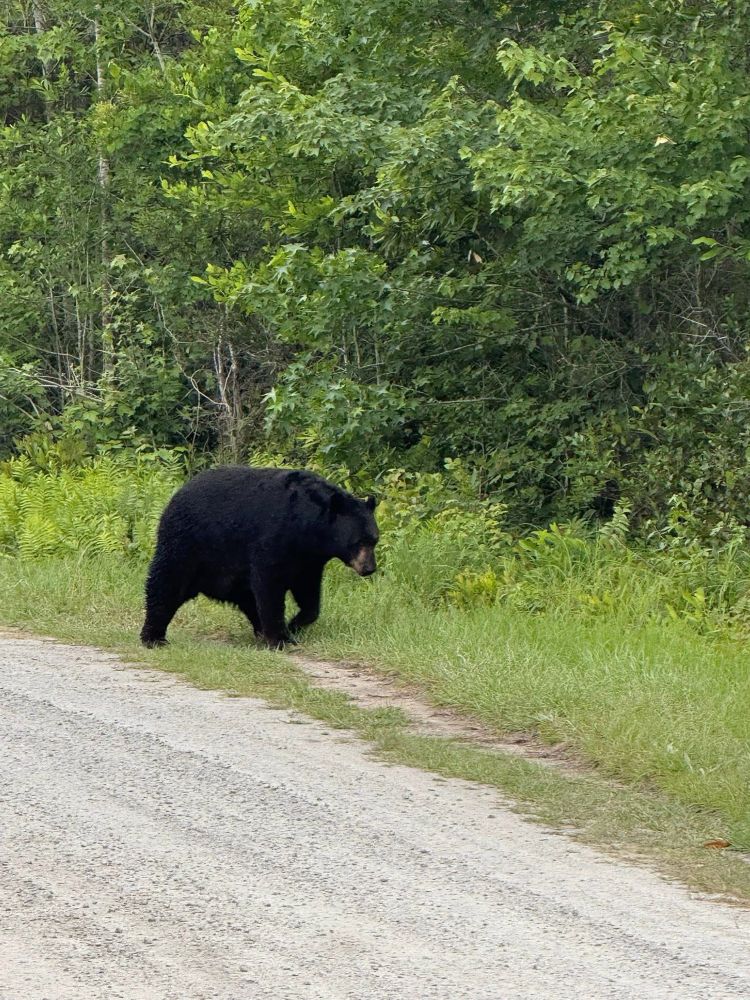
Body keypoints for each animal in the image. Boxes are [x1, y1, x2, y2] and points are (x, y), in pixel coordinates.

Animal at [140, 466, 379, 649]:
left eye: (374, 539)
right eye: (359, 542)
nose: (369, 568)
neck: (307, 526)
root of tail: (178, 492)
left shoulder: (308, 559)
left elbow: (308, 592)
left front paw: (294, 624)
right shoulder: (273, 538)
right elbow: (269, 585)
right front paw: (282, 638)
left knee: (247, 598)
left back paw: (261, 630)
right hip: (187, 544)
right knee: (166, 584)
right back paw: (153, 637)